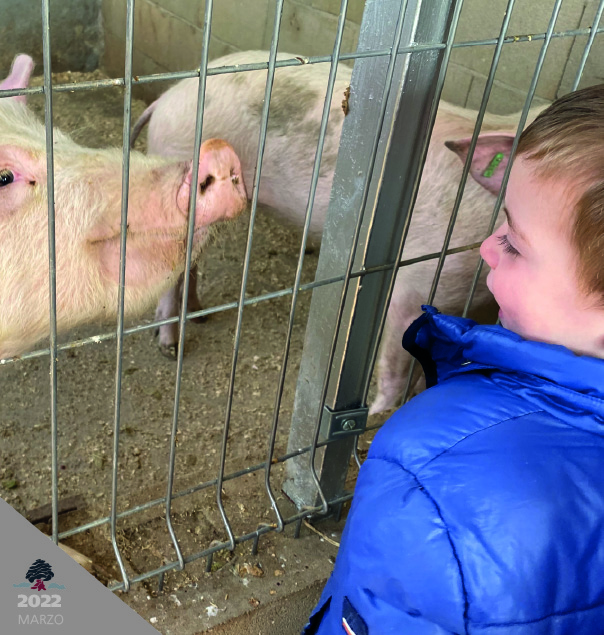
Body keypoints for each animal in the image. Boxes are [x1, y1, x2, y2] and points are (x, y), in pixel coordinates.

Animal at [131, 50, 542, 413]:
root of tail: (164, 99)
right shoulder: (419, 278)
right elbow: (397, 361)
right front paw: (378, 413)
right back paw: (169, 347)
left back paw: (199, 314)